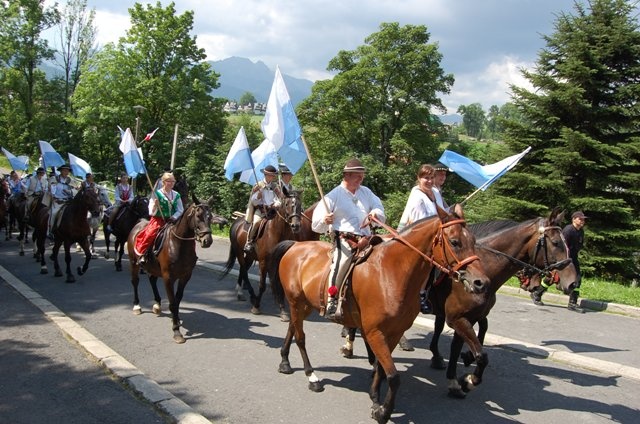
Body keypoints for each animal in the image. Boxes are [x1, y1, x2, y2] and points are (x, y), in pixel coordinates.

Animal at [127, 197, 225, 342]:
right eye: (198, 216)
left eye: (210, 216)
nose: (207, 241)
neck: (179, 244)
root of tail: (138, 224)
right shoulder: (168, 277)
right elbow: (173, 303)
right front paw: (176, 331)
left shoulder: (185, 276)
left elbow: (178, 300)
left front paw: (177, 320)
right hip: (134, 263)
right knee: (135, 281)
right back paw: (137, 306)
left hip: (153, 267)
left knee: (152, 280)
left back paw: (157, 305)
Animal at [221, 190, 304, 318]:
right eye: (287, 204)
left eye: (300, 205)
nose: (296, 226)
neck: (276, 231)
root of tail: (236, 222)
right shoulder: (264, 262)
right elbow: (262, 285)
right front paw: (256, 307)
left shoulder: (277, 262)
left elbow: (278, 285)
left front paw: (282, 310)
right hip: (239, 253)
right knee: (244, 270)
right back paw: (250, 295)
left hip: (250, 256)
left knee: (243, 269)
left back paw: (242, 293)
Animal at [268, 204, 488, 422]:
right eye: (455, 242)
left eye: (473, 241)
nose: (481, 282)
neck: (391, 273)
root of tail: (296, 246)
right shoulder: (375, 333)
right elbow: (393, 376)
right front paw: (383, 412)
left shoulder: (395, 332)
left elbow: (382, 369)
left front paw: (375, 397)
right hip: (296, 302)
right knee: (300, 337)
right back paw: (312, 376)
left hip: (305, 306)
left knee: (292, 328)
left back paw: (285, 362)